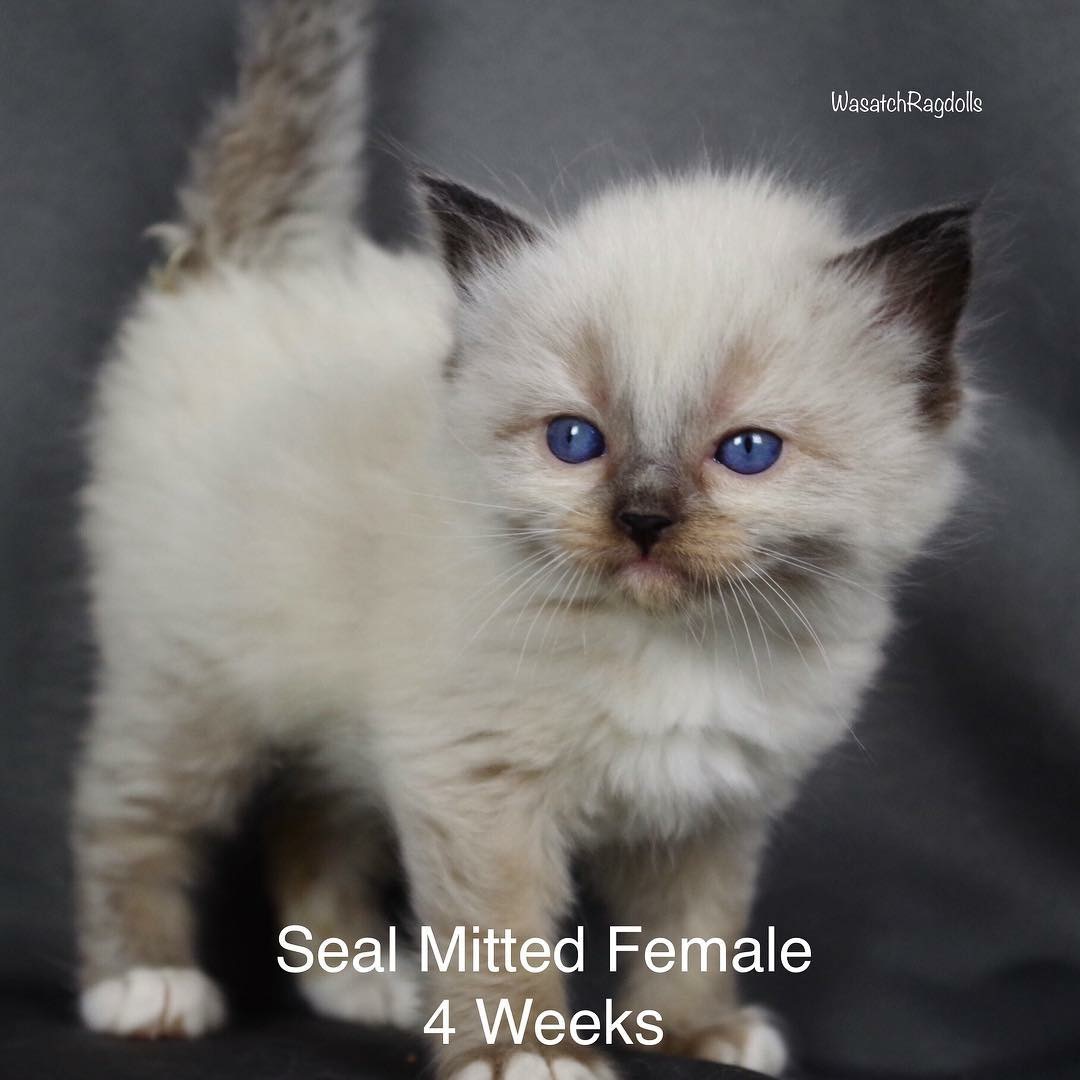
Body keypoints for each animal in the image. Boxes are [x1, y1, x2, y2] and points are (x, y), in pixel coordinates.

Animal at [72, 1, 976, 1077]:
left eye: (747, 452)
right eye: (574, 441)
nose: (643, 520)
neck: (674, 644)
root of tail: (247, 270)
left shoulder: (713, 804)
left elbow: (696, 928)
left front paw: (694, 1033)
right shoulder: (476, 780)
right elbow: (502, 928)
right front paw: (523, 1052)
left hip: (340, 717)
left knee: (306, 821)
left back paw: (359, 983)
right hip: (200, 689)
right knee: (131, 815)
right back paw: (146, 985)